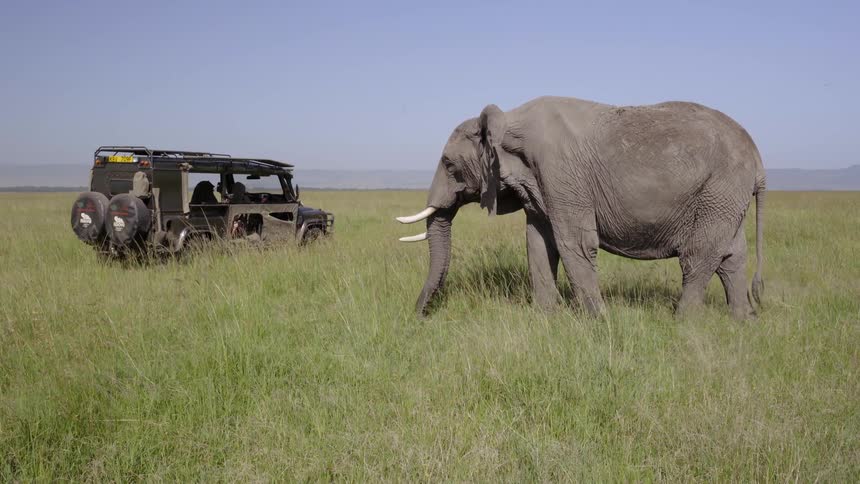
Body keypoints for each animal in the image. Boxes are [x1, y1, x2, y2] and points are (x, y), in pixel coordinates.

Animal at [396, 96, 765, 320]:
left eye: (448, 164)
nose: (419, 316)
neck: (509, 120)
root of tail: (758, 157)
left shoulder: (561, 173)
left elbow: (573, 243)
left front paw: (599, 321)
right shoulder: (540, 185)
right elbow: (538, 244)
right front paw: (547, 318)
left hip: (720, 189)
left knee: (699, 256)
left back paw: (682, 322)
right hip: (726, 196)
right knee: (732, 256)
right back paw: (743, 320)